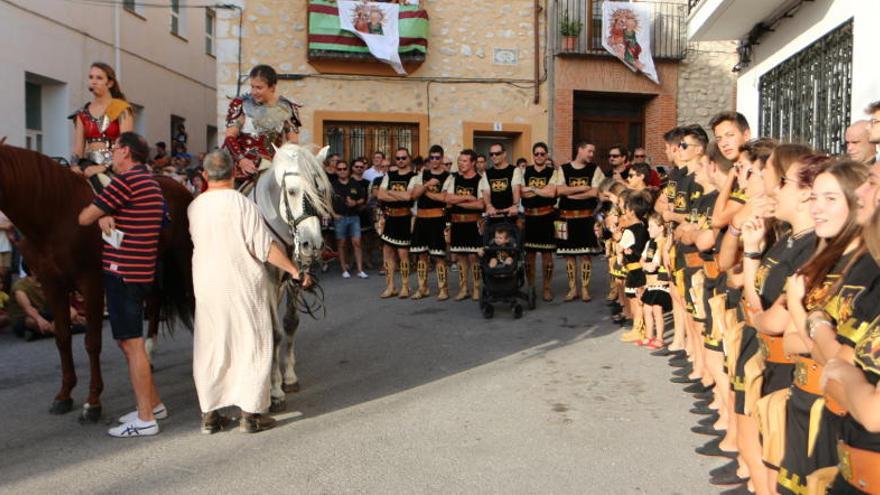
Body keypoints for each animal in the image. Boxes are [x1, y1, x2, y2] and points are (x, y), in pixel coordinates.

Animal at [0, 143, 193, 422]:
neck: (57, 213)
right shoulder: (53, 285)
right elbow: (62, 337)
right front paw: (64, 395)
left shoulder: (91, 284)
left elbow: (92, 342)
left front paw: (92, 403)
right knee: (155, 301)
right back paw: (148, 354)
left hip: (184, 259)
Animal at [248, 144, 334, 414]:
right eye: (293, 191)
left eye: (320, 190)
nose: (312, 244)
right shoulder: (268, 281)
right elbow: (274, 333)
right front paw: (275, 391)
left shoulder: (295, 278)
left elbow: (289, 324)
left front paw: (288, 377)